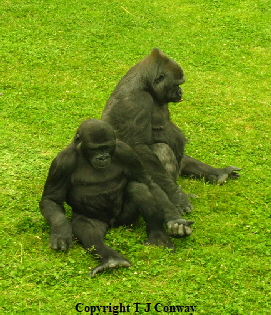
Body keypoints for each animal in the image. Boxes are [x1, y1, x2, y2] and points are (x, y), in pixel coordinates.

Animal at [39, 119, 193, 278]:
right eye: (95, 149)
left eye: (106, 147)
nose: (102, 157)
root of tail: (112, 224)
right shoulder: (61, 163)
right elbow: (52, 200)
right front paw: (60, 231)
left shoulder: (127, 153)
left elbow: (147, 182)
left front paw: (176, 221)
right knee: (87, 227)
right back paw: (111, 259)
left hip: (126, 220)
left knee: (138, 189)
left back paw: (158, 236)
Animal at [102, 48, 242, 212]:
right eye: (177, 84)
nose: (181, 92)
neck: (145, 84)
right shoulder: (133, 101)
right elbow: (138, 147)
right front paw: (176, 196)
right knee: (162, 150)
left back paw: (218, 173)